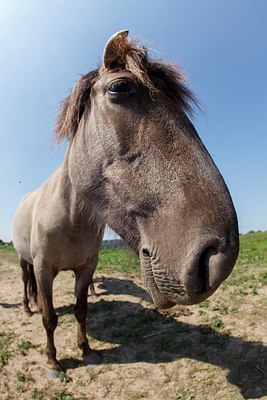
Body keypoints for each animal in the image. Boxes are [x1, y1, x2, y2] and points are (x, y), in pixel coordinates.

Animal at [12, 29, 240, 376]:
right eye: (119, 87)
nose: (217, 259)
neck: (70, 218)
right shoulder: (43, 268)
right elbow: (50, 318)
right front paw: (53, 362)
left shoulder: (87, 268)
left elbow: (81, 310)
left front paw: (87, 351)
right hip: (26, 262)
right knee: (28, 285)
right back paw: (27, 308)